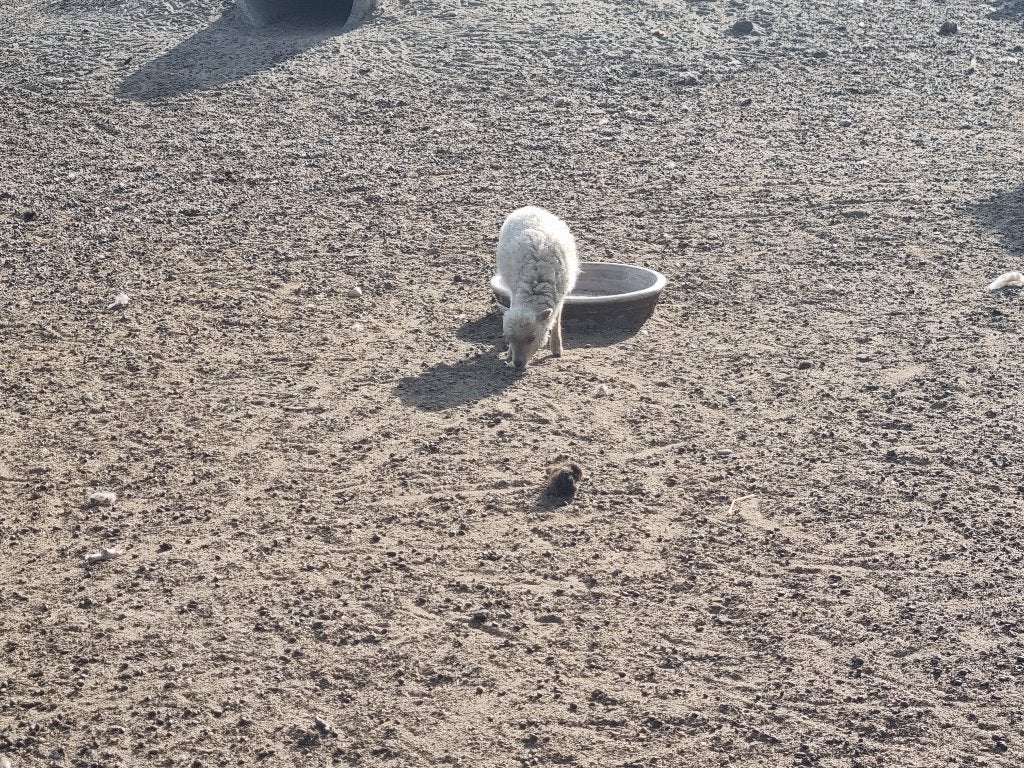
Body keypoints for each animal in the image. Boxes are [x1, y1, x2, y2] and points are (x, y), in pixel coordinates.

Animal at [494, 206, 580, 370]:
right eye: (508, 338)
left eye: (532, 338)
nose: (517, 364)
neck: (535, 288)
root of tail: (529, 208)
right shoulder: (514, 291)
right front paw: (508, 353)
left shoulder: (561, 296)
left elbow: (556, 319)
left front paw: (557, 348)